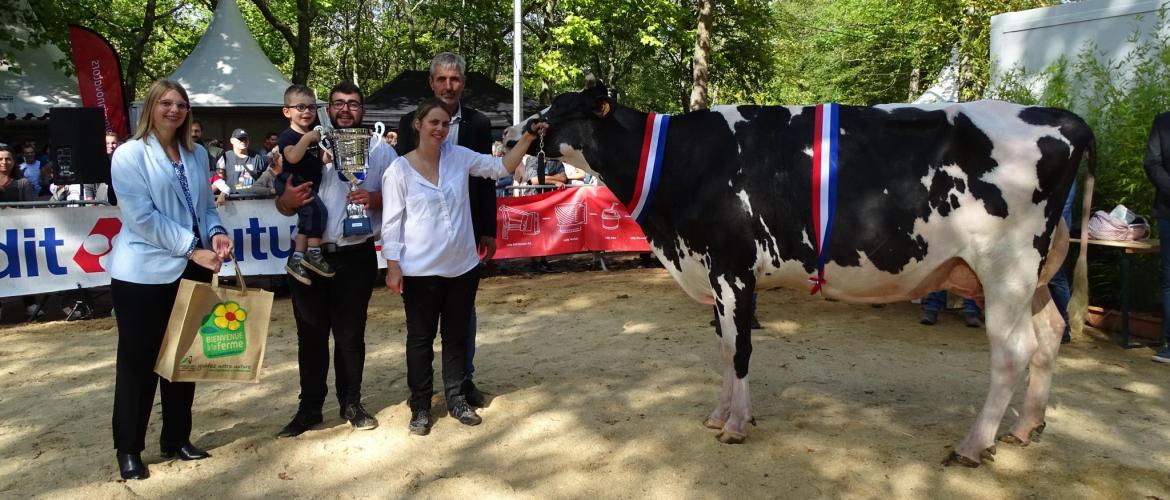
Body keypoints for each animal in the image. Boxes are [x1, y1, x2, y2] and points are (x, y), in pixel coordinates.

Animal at [505, 84, 1095, 468]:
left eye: (555, 114)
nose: (509, 135)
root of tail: (1066, 119)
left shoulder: (732, 269)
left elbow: (739, 348)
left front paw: (736, 426)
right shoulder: (714, 273)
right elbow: (723, 346)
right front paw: (719, 415)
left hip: (1006, 268)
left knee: (1012, 352)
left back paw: (974, 445)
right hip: (1038, 275)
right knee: (1049, 336)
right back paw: (1025, 428)